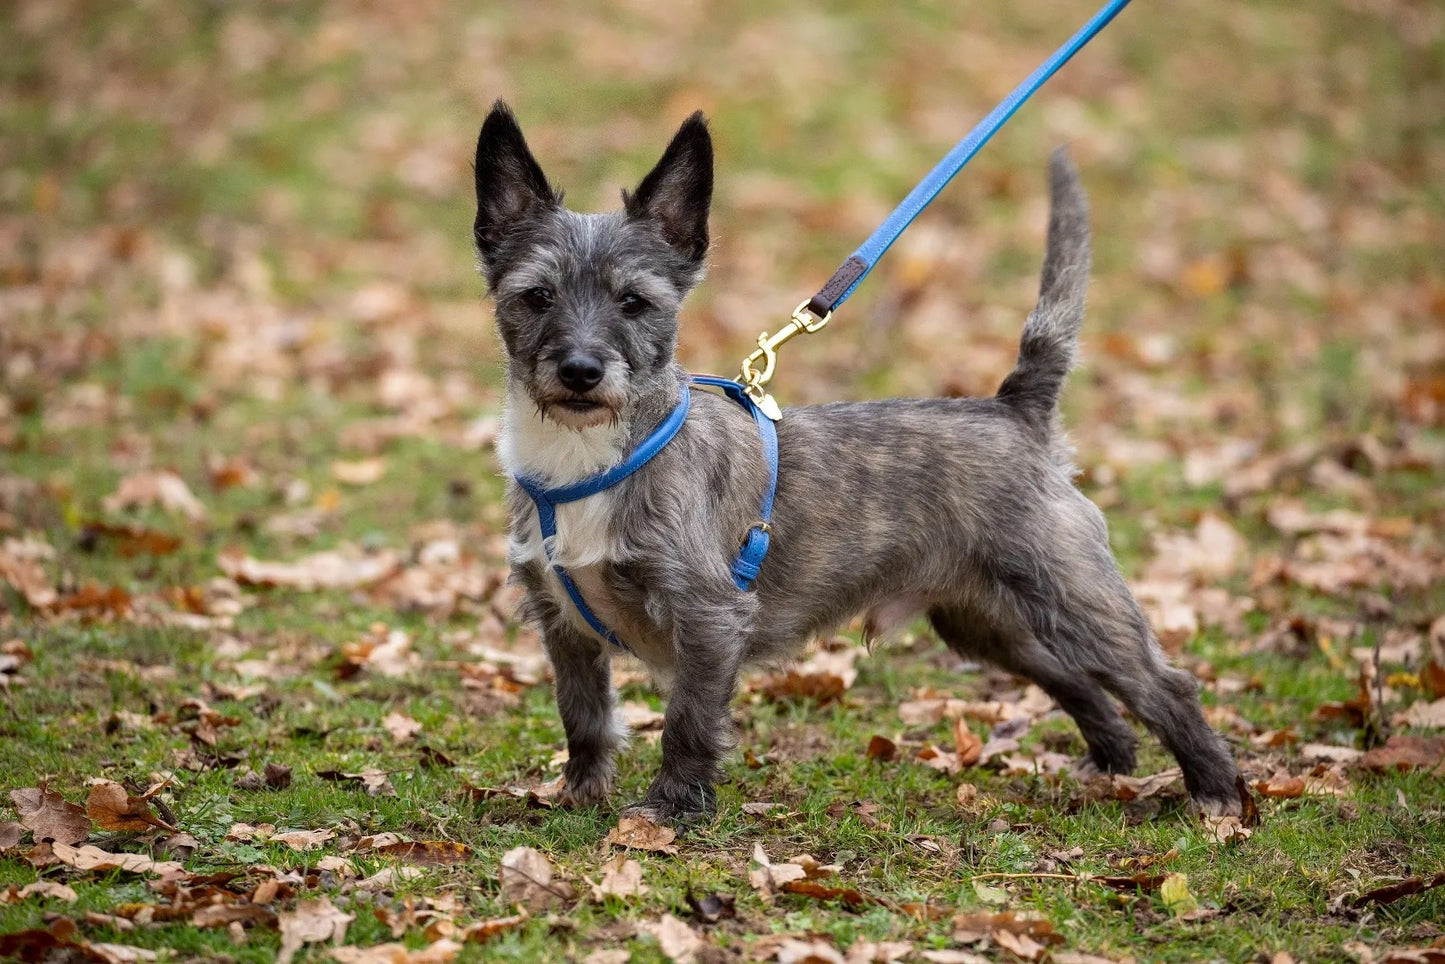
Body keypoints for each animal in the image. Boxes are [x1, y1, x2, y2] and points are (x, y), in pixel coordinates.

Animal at [473, 104, 1242, 832]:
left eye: (634, 302)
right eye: (536, 296)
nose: (580, 371)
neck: (594, 458)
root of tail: (1013, 410)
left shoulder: (709, 618)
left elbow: (687, 721)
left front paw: (671, 809)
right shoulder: (562, 624)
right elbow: (583, 714)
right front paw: (580, 793)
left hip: (1075, 600)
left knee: (1163, 685)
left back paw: (1219, 796)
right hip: (986, 622)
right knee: (1073, 680)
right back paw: (1112, 762)